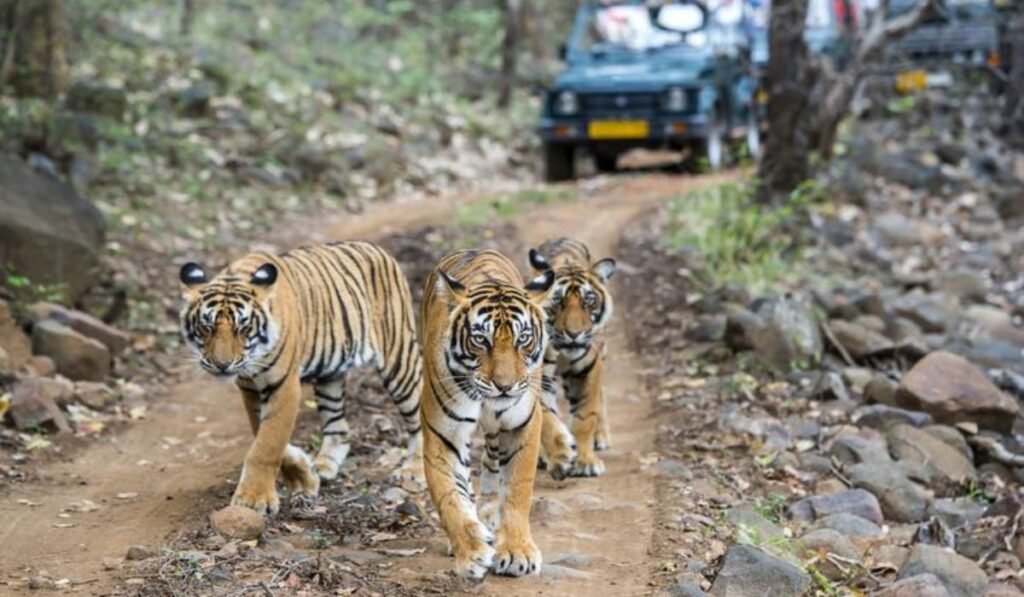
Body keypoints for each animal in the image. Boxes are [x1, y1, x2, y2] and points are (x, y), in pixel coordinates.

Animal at [180, 241, 423, 514]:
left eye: (243, 327)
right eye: (206, 327)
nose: (222, 365)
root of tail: (376, 248)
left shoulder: (283, 385)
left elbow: (268, 443)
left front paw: (254, 499)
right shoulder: (250, 388)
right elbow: (263, 434)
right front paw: (304, 477)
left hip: (399, 359)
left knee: (419, 417)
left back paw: (414, 470)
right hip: (330, 375)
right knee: (339, 427)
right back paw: (324, 466)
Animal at [419, 247, 557, 577]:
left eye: (523, 338)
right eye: (481, 340)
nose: (504, 386)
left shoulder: (522, 424)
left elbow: (517, 489)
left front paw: (517, 552)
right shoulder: (443, 434)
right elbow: (450, 496)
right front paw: (470, 552)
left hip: (498, 430)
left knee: (493, 462)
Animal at [528, 235, 614, 479]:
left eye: (589, 301)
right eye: (558, 302)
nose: (574, 334)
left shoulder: (589, 368)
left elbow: (585, 416)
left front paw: (586, 462)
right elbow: (547, 418)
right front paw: (561, 456)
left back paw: (601, 437)